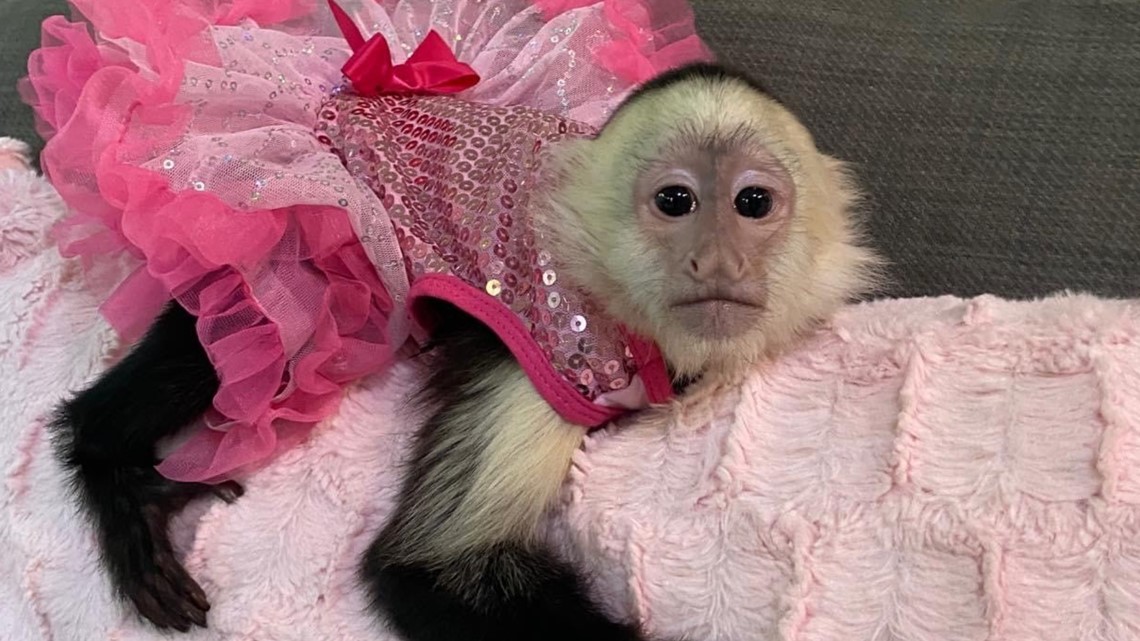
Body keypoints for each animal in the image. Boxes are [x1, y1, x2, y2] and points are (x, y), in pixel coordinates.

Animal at [47, 62, 879, 639]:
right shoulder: (547, 352)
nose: (718, 262)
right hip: (290, 214)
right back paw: (113, 471)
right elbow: (431, 565)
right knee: (259, 331)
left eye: (752, 203)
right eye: (675, 201)